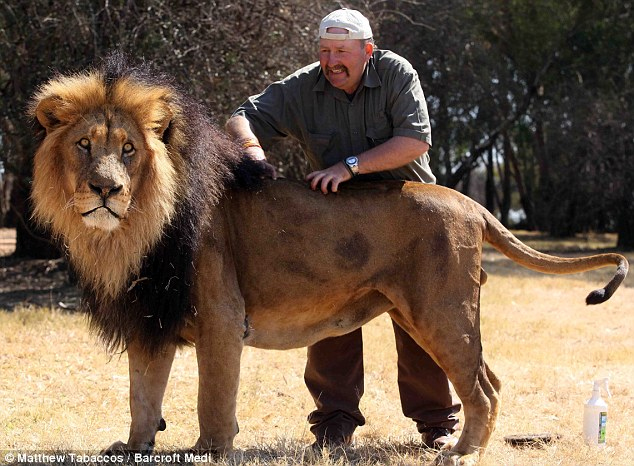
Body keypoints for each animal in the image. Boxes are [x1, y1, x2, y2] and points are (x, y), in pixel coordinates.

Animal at [28, 52, 624, 464]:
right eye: (85, 145)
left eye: (129, 149)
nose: (105, 189)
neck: (132, 233)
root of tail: (472, 203)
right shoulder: (150, 317)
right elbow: (142, 396)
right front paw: (132, 446)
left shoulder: (220, 317)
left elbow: (213, 397)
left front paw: (209, 451)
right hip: (431, 314)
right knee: (490, 379)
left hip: (442, 311)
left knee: (479, 385)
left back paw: (461, 452)